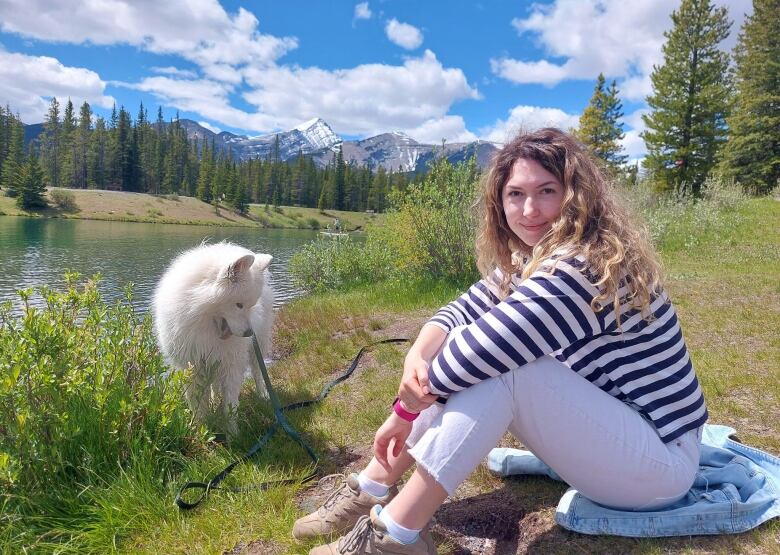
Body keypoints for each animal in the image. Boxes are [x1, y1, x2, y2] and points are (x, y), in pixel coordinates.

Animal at [152, 241, 274, 436]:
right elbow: (197, 404)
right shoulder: (193, 364)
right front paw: (200, 429)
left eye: (251, 305)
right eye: (239, 305)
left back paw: (263, 394)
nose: (249, 333)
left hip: (259, 344)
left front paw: (233, 434)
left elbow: (230, 403)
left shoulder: (231, 362)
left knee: (257, 372)